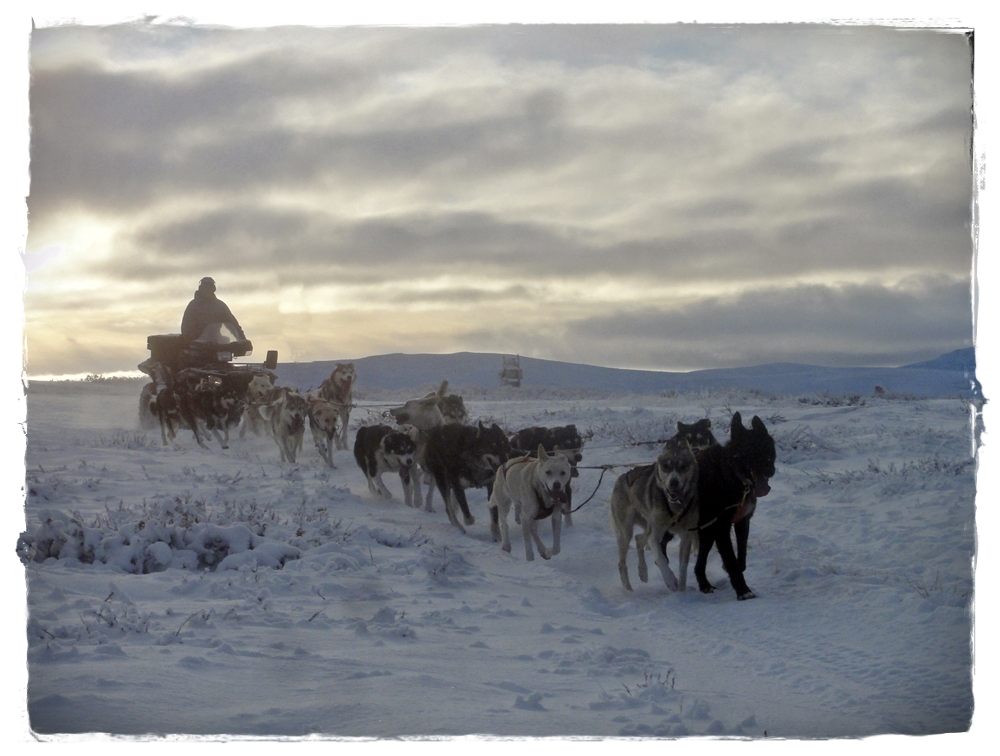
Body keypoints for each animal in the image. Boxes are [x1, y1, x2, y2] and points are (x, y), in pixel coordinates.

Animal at [604, 438, 700, 592]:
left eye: (683, 466)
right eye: (666, 466)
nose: (673, 482)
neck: (674, 505)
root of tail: (622, 477)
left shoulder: (686, 536)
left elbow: (683, 569)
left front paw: (682, 591)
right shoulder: (655, 535)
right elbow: (660, 559)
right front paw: (671, 580)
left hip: (649, 527)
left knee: (638, 539)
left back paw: (643, 572)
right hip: (626, 532)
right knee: (622, 562)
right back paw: (628, 588)